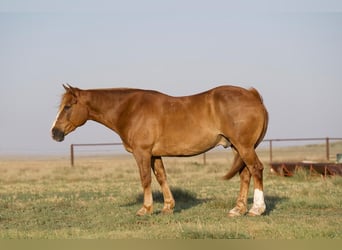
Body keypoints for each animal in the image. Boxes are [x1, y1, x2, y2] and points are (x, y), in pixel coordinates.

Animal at [51, 84, 270, 217]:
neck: (129, 109)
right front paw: (167, 207)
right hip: (237, 148)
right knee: (245, 174)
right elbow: (161, 177)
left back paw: (256, 209)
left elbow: (146, 179)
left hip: (243, 147)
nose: (54, 133)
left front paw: (146, 209)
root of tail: (253, 96)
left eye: (68, 106)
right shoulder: (155, 154)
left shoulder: (142, 153)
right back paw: (238, 209)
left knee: (256, 169)